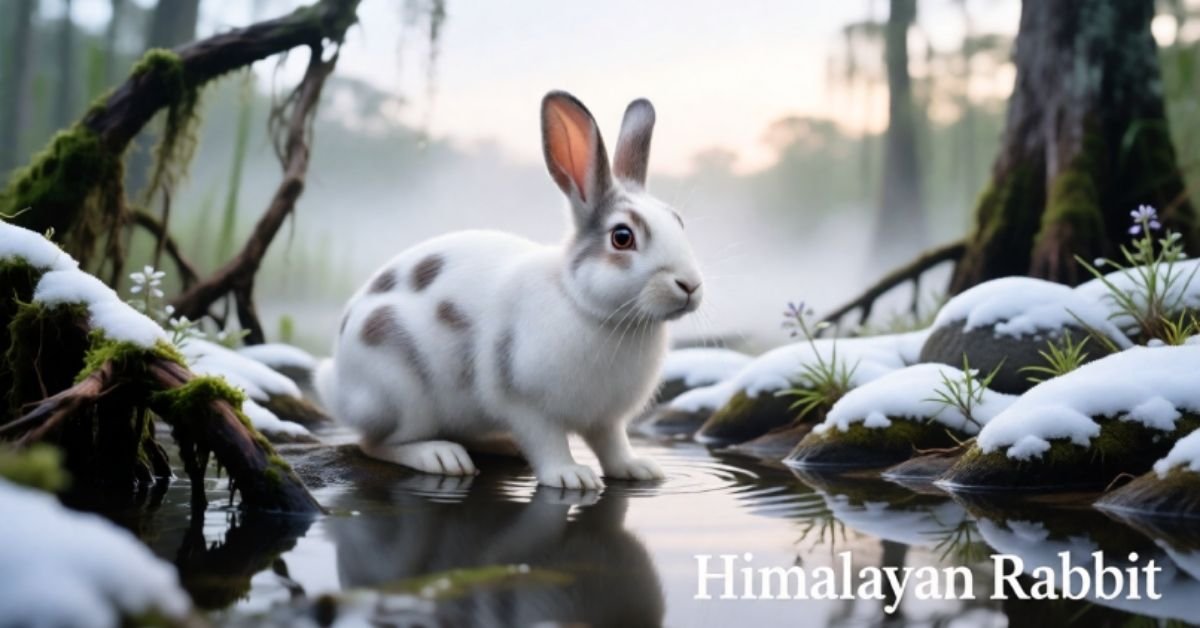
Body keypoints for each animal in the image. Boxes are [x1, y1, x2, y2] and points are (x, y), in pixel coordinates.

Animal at [315, 91, 703, 489]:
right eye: (622, 237)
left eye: (678, 222)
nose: (690, 285)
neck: (587, 307)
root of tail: (336, 383)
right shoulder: (528, 407)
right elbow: (548, 443)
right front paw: (570, 476)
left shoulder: (606, 419)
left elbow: (613, 446)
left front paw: (638, 469)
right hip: (400, 391)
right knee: (375, 443)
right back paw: (439, 456)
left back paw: (501, 445)